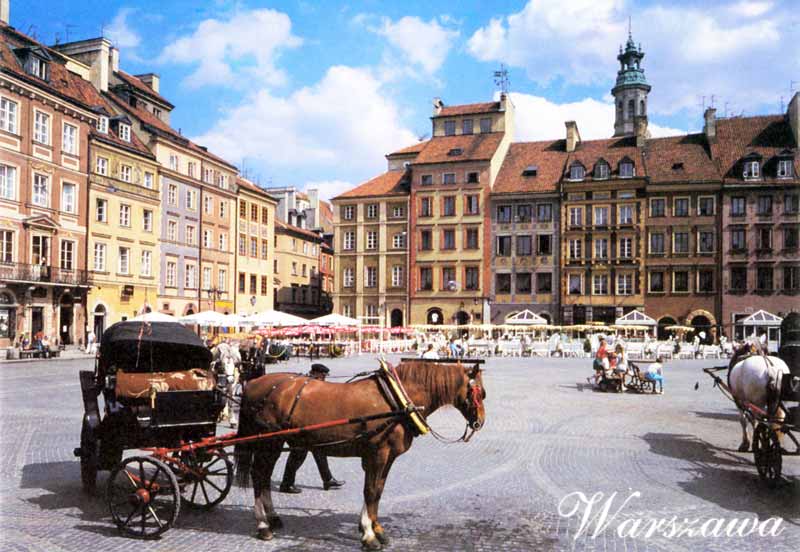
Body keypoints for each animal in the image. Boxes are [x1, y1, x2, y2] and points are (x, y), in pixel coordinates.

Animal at [233, 358, 488, 548]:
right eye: (481, 393)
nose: (480, 422)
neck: (396, 400)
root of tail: (253, 384)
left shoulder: (385, 457)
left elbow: (376, 491)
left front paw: (375, 528)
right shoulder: (378, 454)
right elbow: (371, 491)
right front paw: (368, 534)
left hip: (274, 443)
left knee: (264, 477)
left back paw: (273, 518)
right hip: (270, 442)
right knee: (259, 476)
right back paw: (263, 525)